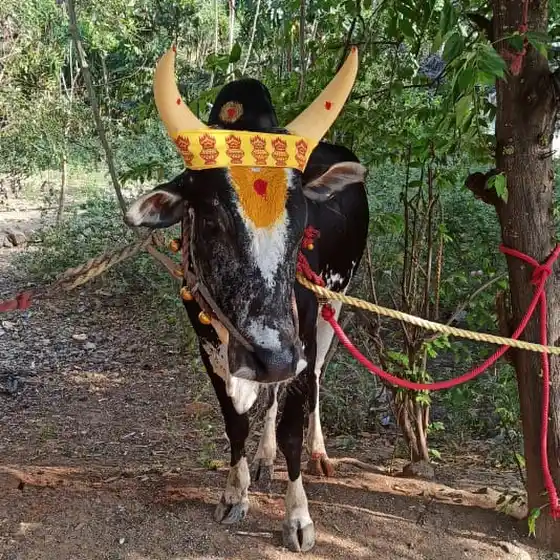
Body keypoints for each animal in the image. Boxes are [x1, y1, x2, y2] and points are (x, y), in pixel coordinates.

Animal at [125, 46, 369, 552]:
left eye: (302, 220)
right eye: (211, 219)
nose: (272, 357)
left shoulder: (298, 340)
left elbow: (293, 426)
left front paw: (297, 517)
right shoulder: (212, 348)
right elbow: (235, 421)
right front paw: (234, 494)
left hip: (334, 306)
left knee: (316, 380)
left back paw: (318, 452)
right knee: (273, 394)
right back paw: (263, 456)